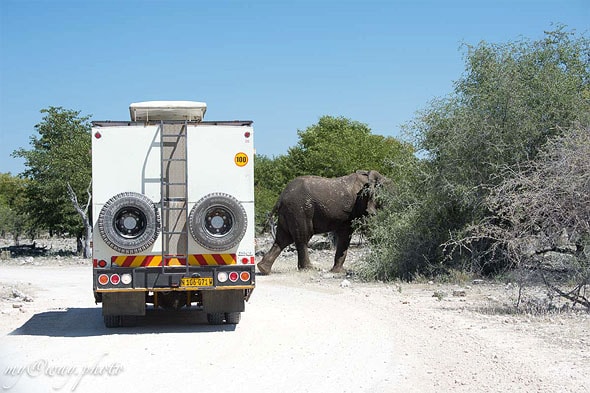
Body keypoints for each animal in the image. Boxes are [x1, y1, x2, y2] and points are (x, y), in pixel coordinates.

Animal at [258, 170, 388, 274]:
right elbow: (369, 226)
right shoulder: (362, 203)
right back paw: (309, 269)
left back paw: (263, 269)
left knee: (283, 239)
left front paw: (338, 272)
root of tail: (280, 197)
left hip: (289, 212)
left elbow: (345, 235)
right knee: (302, 237)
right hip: (299, 210)